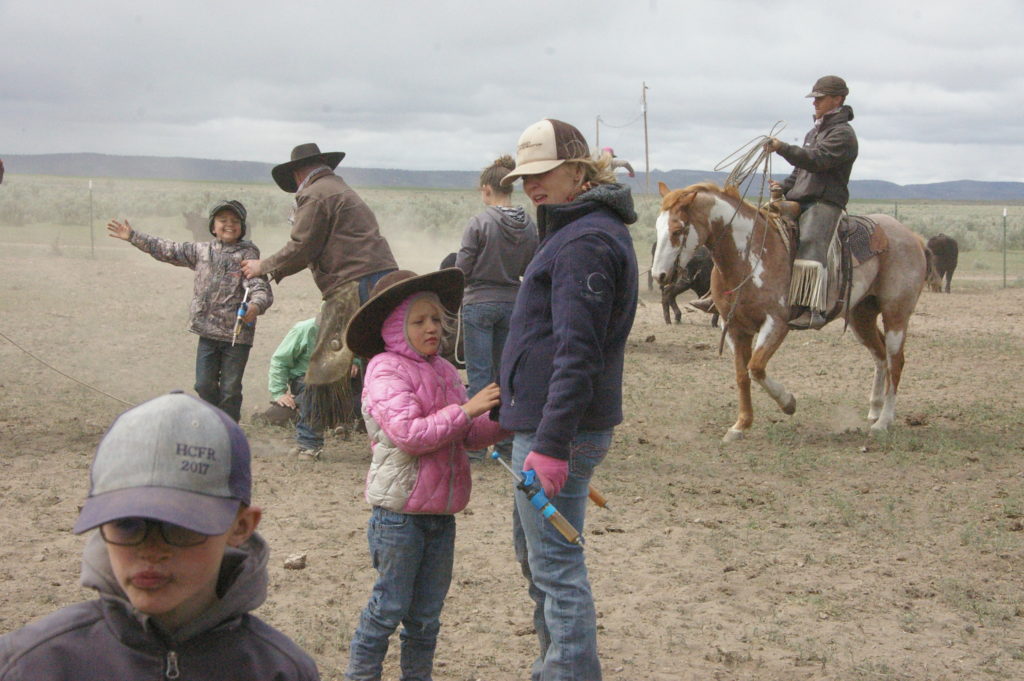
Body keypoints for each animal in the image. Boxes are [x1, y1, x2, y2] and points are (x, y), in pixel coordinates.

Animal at [655, 180, 929, 440]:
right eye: (658, 228)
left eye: (678, 230)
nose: (659, 275)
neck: (750, 258)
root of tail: (911, 236)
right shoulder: (733, 327)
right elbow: (742, 375)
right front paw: (740, 425)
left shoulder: (776, 324)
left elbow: (756, 367)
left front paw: (788, 403)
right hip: (861, 315)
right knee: (879, 355)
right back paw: (874, 410)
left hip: (896, 314)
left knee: (895, 361)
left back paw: (884, 421)